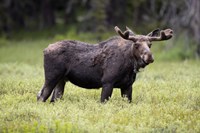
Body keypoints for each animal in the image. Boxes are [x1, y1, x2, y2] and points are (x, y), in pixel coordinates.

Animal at [37, 26, 173, 103]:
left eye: (150, 45)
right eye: (136, 44)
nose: (149, 57)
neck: (130, 66)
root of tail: (45, 49)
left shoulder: (127, 86)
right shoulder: (107, 82)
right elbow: (103, 102)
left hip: (61, 80)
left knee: (53, 99)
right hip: (52, 77)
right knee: (41, 96)